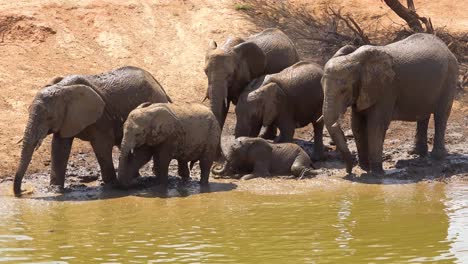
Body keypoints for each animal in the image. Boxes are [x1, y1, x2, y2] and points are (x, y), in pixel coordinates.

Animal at [12, 65, 172, 195]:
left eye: (49, 118)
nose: (24, 191)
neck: (63, 88)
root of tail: (160, 86)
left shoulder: (101, 118)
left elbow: (102, 146)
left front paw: (111, 185)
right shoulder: (67, 118)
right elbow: (59, 147)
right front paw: (55, 190)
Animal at [322, 33, 458, 175]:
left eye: (343, 91)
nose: (349, 172)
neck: (354, 59)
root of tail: (446, 47)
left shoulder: (386, 89)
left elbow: (376, 125)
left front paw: (376, 173)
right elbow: (357, 125)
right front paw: (364, 168)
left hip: (450, 77)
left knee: (441, 115)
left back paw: (437, 157)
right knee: (423, 116)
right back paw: (415, 153)